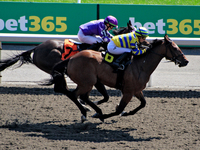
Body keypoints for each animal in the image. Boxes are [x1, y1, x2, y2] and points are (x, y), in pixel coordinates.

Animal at [47, 34, 189, 122]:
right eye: (175, 48)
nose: (186, 61)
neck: (141, 65)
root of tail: (71, 59)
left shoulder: (136, 90)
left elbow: (143, 104)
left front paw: (126, 113)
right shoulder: (128, 92)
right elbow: (119, 109)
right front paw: (106, 115)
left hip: (89, 82)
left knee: (82, 96)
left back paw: (95, 110)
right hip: (86, 83)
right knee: (74, 95)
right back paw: (86, 114)